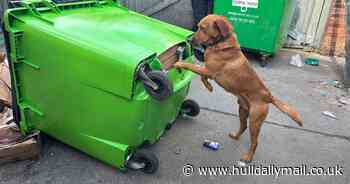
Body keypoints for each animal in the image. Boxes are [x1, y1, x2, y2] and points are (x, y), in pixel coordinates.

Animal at [175, 15, 304, 163]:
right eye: (198, 27)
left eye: (203, 28)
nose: (190, 40)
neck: (220, 43)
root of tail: (268, 96)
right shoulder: (208, 71)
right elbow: (202, 77)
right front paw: (209, 87)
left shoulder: (209, 70)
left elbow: (191, 67)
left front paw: (179, 63)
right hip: (242, 110)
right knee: (243, 126)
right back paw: (235, 136)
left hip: (255, 121)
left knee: (255, 141)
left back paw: (248, 157)